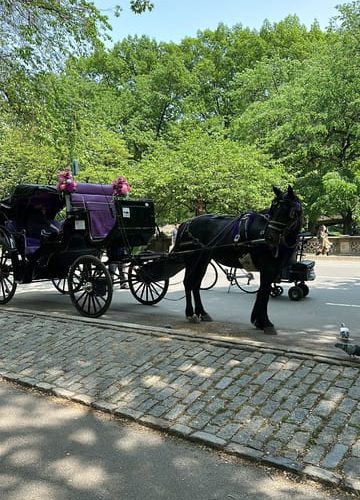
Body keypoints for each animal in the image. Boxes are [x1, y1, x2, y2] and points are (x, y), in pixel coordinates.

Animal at [173, 186, 302, 334]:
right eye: (273, 209)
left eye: (288, 211)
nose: (269, 237)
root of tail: (187, 223)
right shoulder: (268, 269)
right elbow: (263, 294)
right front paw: (265, 322)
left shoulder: (272, 271)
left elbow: (262, 293)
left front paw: (258, 321)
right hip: (192, 260)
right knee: (188, 283)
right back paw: (190, 313)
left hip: (203, 260)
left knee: (196, 284)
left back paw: (202, 312)